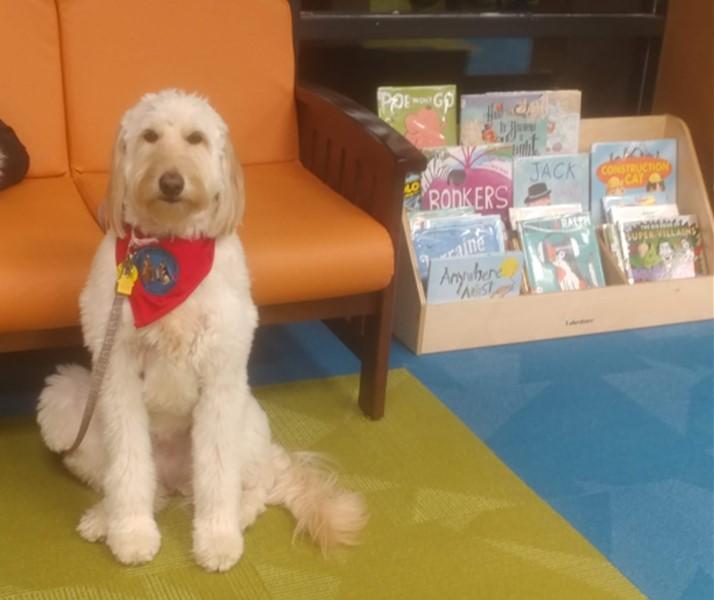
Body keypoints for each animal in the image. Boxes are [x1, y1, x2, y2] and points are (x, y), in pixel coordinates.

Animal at [35, 90, 364, 572]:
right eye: (150, 136)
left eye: (195, 138)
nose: (171, 182)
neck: (168, 249)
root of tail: (175, 478)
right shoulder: (116, 376)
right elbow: (128, 467)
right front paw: (130, 533)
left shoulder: (221, 378)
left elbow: (217, 472)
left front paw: (217, 538)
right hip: (68, 408)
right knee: (141, 482)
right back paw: (107, 517)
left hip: (248, 424)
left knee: (256, 486)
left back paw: (236, 513)